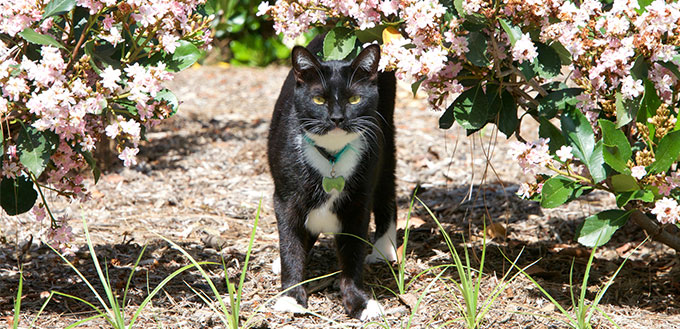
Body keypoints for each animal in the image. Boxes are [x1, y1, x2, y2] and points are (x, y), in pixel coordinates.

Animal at [266, 36, 398, 320]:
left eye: (354, 99)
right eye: (317, 99)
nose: (337, 117)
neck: (332, 157)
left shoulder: (359, 202)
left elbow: (353, 251)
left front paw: (359, 301)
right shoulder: (285, 197)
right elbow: (290, 241)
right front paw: (291, 296)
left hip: (386, 135)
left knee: (387, 183)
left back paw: (384, 247)